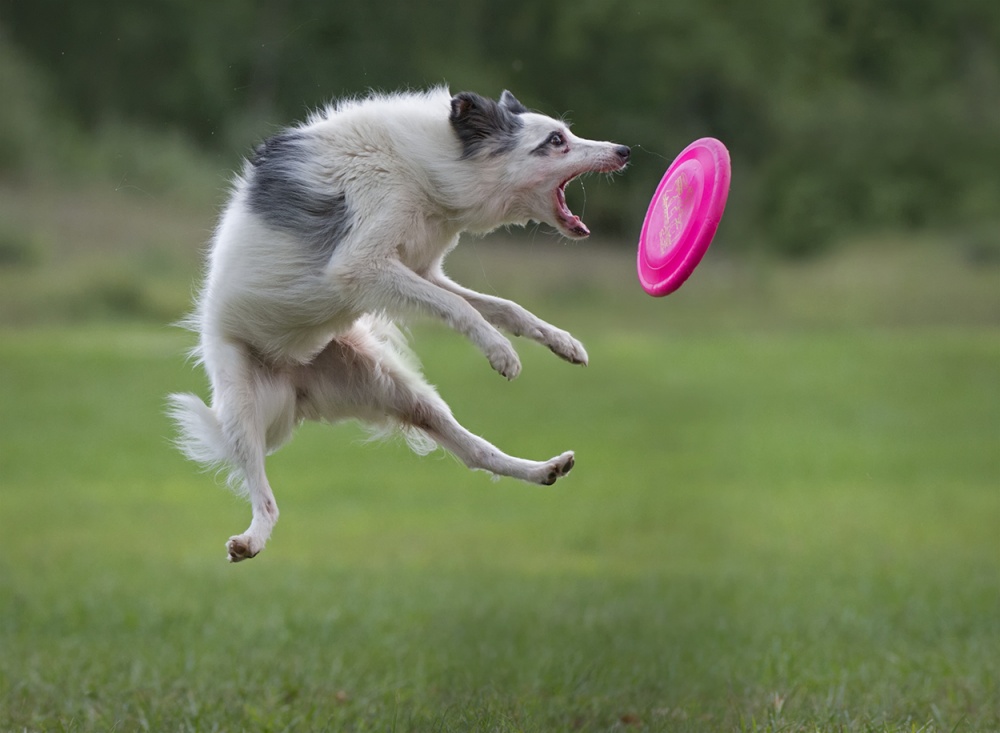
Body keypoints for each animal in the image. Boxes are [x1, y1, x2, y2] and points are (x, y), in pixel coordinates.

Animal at [168, 88, 630, 562]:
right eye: (556, 140)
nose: (624, 151)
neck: (424, 167)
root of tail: (298, 378)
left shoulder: (422, 271)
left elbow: (504, 307)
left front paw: (562, 342)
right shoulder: (364, 267)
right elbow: (463, 308)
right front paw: (502, 353)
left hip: (402, 392)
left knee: (476, 453)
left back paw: (544, 469)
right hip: (241, 404)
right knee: (265, 496)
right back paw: (252, 539)